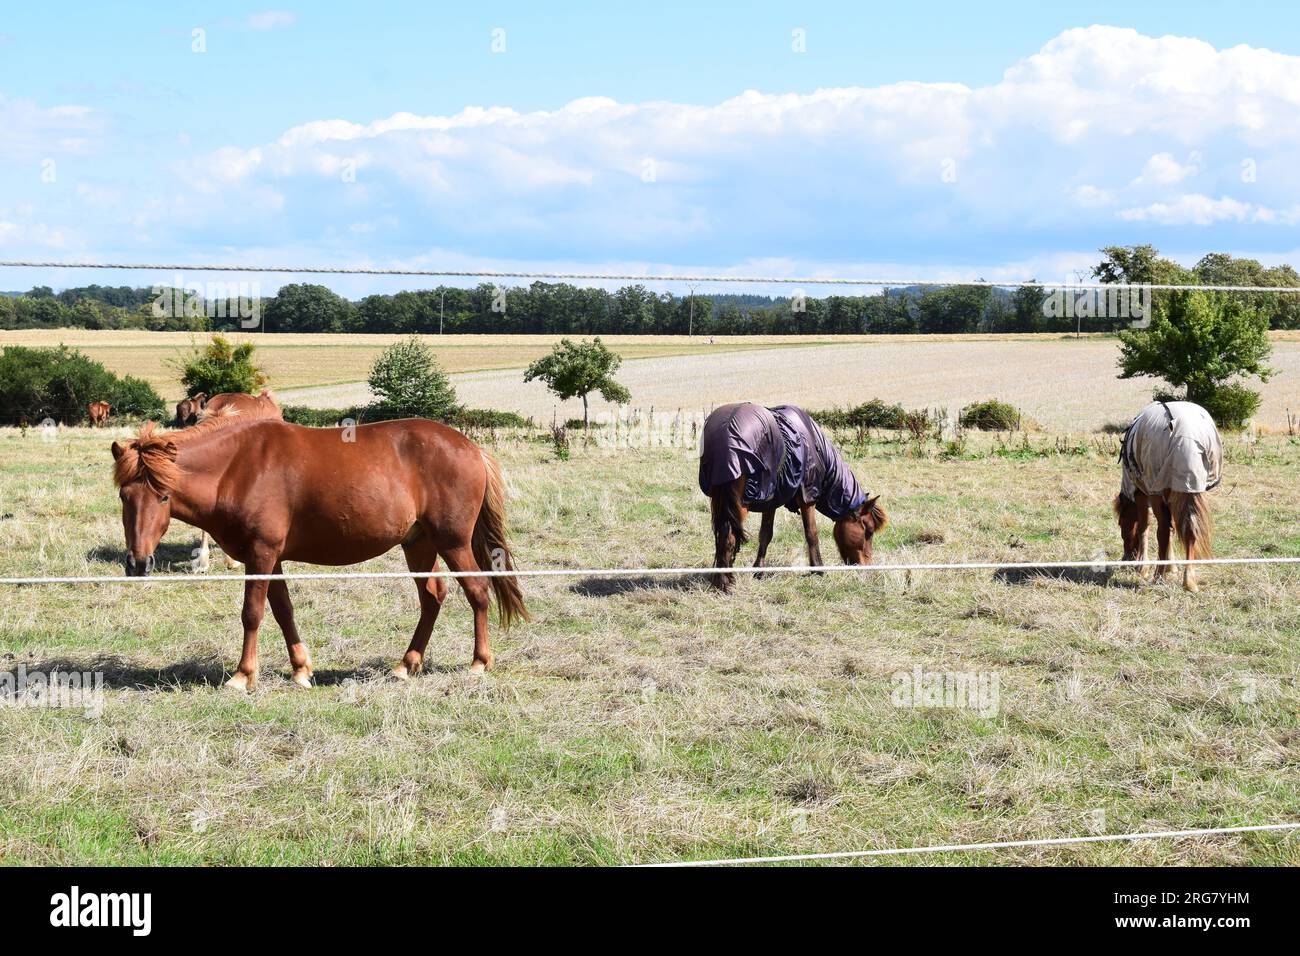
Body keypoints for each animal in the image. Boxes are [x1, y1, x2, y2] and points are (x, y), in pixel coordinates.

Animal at [110, 415, 528, 688]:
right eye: (124, 496)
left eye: (163, 497)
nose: (138, 563)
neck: (237, 468)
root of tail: (470, 447)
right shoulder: (271, 558)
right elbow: (283, 611)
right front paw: (301, 669)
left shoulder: (260, 555)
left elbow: (252, 614)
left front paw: (243, 675)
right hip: (419, 544)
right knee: (433, 598)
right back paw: (407, 664)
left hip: (452, 542)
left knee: (477, 591)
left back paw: (478, 663)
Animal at [699, 402, 887, 591]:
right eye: (869, 531)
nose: (867, 567)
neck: (816, 445)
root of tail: (727, 432)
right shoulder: (807, 498)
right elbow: (811, 533)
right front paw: (818, 569)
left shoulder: (771, 500)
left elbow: (765, 534)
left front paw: (759, 571)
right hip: (738, 505)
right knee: (728, 537)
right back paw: (724, 583)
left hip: (720, 501)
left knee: (721, 535)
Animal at [1114, 400, 1222, 592]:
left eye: (1121, 523)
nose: (1126, 558)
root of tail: (1186, 437)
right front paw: (1171, 567)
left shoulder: (1142, 494)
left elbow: (1144, 528)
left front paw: (1143, 567)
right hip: (1190, 488)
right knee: (1189, 531)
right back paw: (1188, 580)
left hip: (1158, 492)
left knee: (1163, 530)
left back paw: (1158, 575)